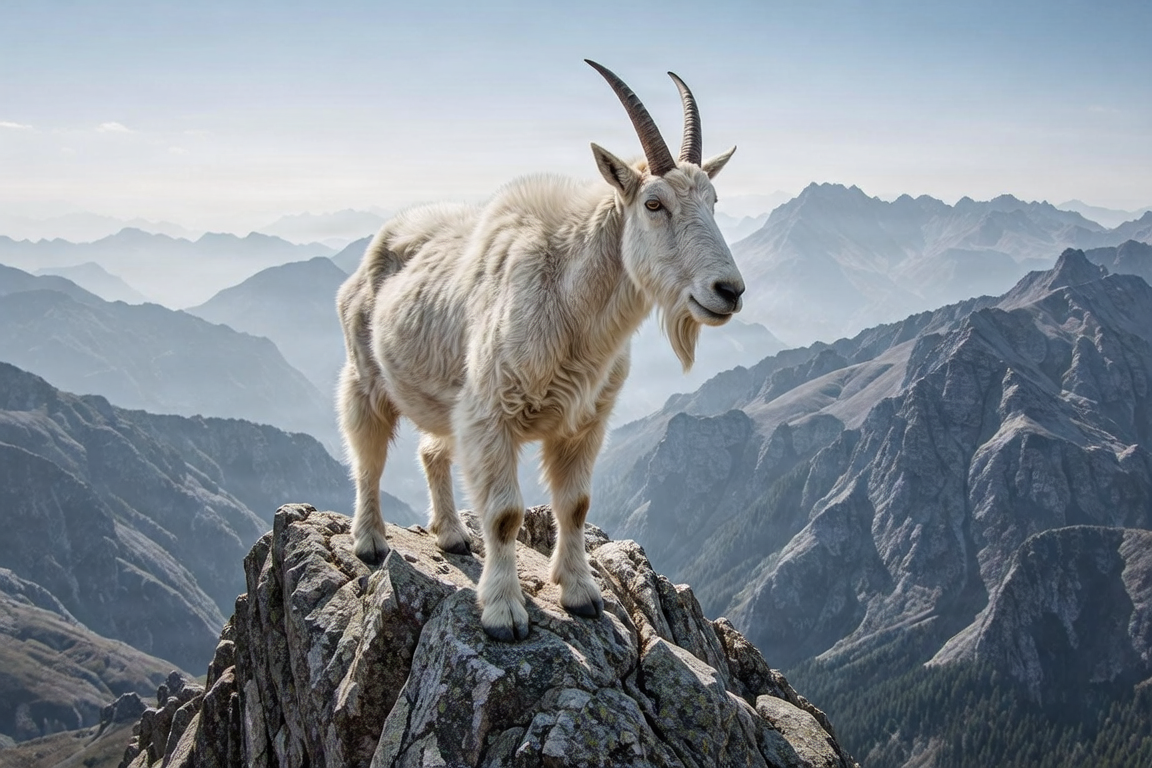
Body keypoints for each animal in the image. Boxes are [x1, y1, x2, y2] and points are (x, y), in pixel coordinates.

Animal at [337, 60, 744, 641]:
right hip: (365, 376)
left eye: (713, 201)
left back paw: (452, 535)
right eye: (654, 203)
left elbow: (574, 506)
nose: (728, 291)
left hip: (445, 399)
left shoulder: (584, 422)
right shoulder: (491, 416)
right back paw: (370, 541)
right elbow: (506, 515)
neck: (570, 302)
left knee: (432, 451)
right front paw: (505, 613)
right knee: (367, 454)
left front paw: (582, 596)